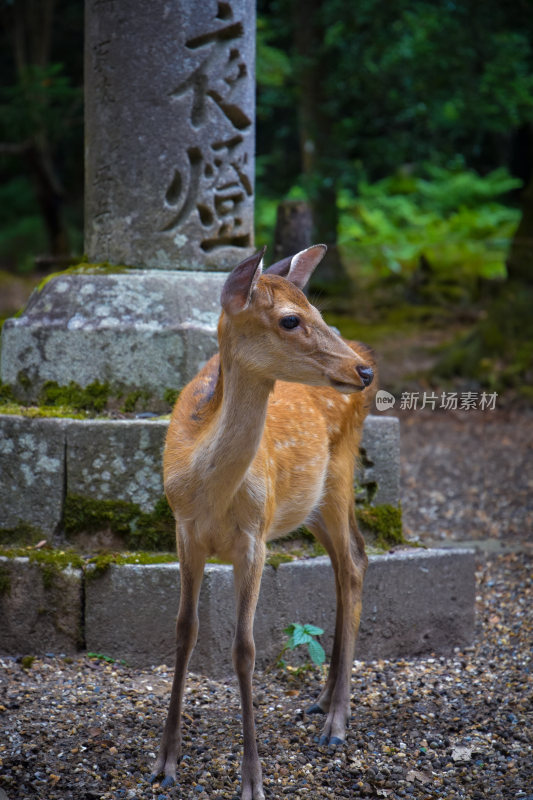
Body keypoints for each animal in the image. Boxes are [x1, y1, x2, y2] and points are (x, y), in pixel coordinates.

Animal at [150, 244, 374, 800]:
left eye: (319, 311)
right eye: (291, 319)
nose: (362, 371)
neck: (211, 493)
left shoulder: (254, 539)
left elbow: (244, 648)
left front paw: (252, 780)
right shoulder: (183, 531)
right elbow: (184, 630)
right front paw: (165, 762)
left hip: (339, 474)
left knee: (354, 561)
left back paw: (336, 722)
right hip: (308, 505)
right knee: (346, 562)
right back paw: (322, 700)